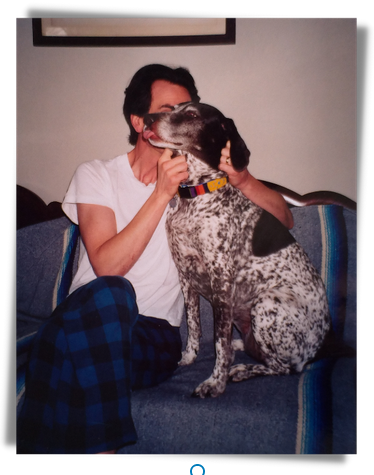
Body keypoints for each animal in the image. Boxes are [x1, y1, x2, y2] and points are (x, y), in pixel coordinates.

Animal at [143, 101, 330, 398]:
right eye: (172, 107)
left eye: (192, 114)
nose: (149, 118)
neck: (196, 197)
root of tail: (318, 348)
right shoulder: (186, 277)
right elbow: (194, 325)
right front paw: (189, 357)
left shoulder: (221, 282)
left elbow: (219, 342)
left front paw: (215, 383)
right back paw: (242, 347)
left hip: (267, 303)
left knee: (286, 367)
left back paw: (240, 370)